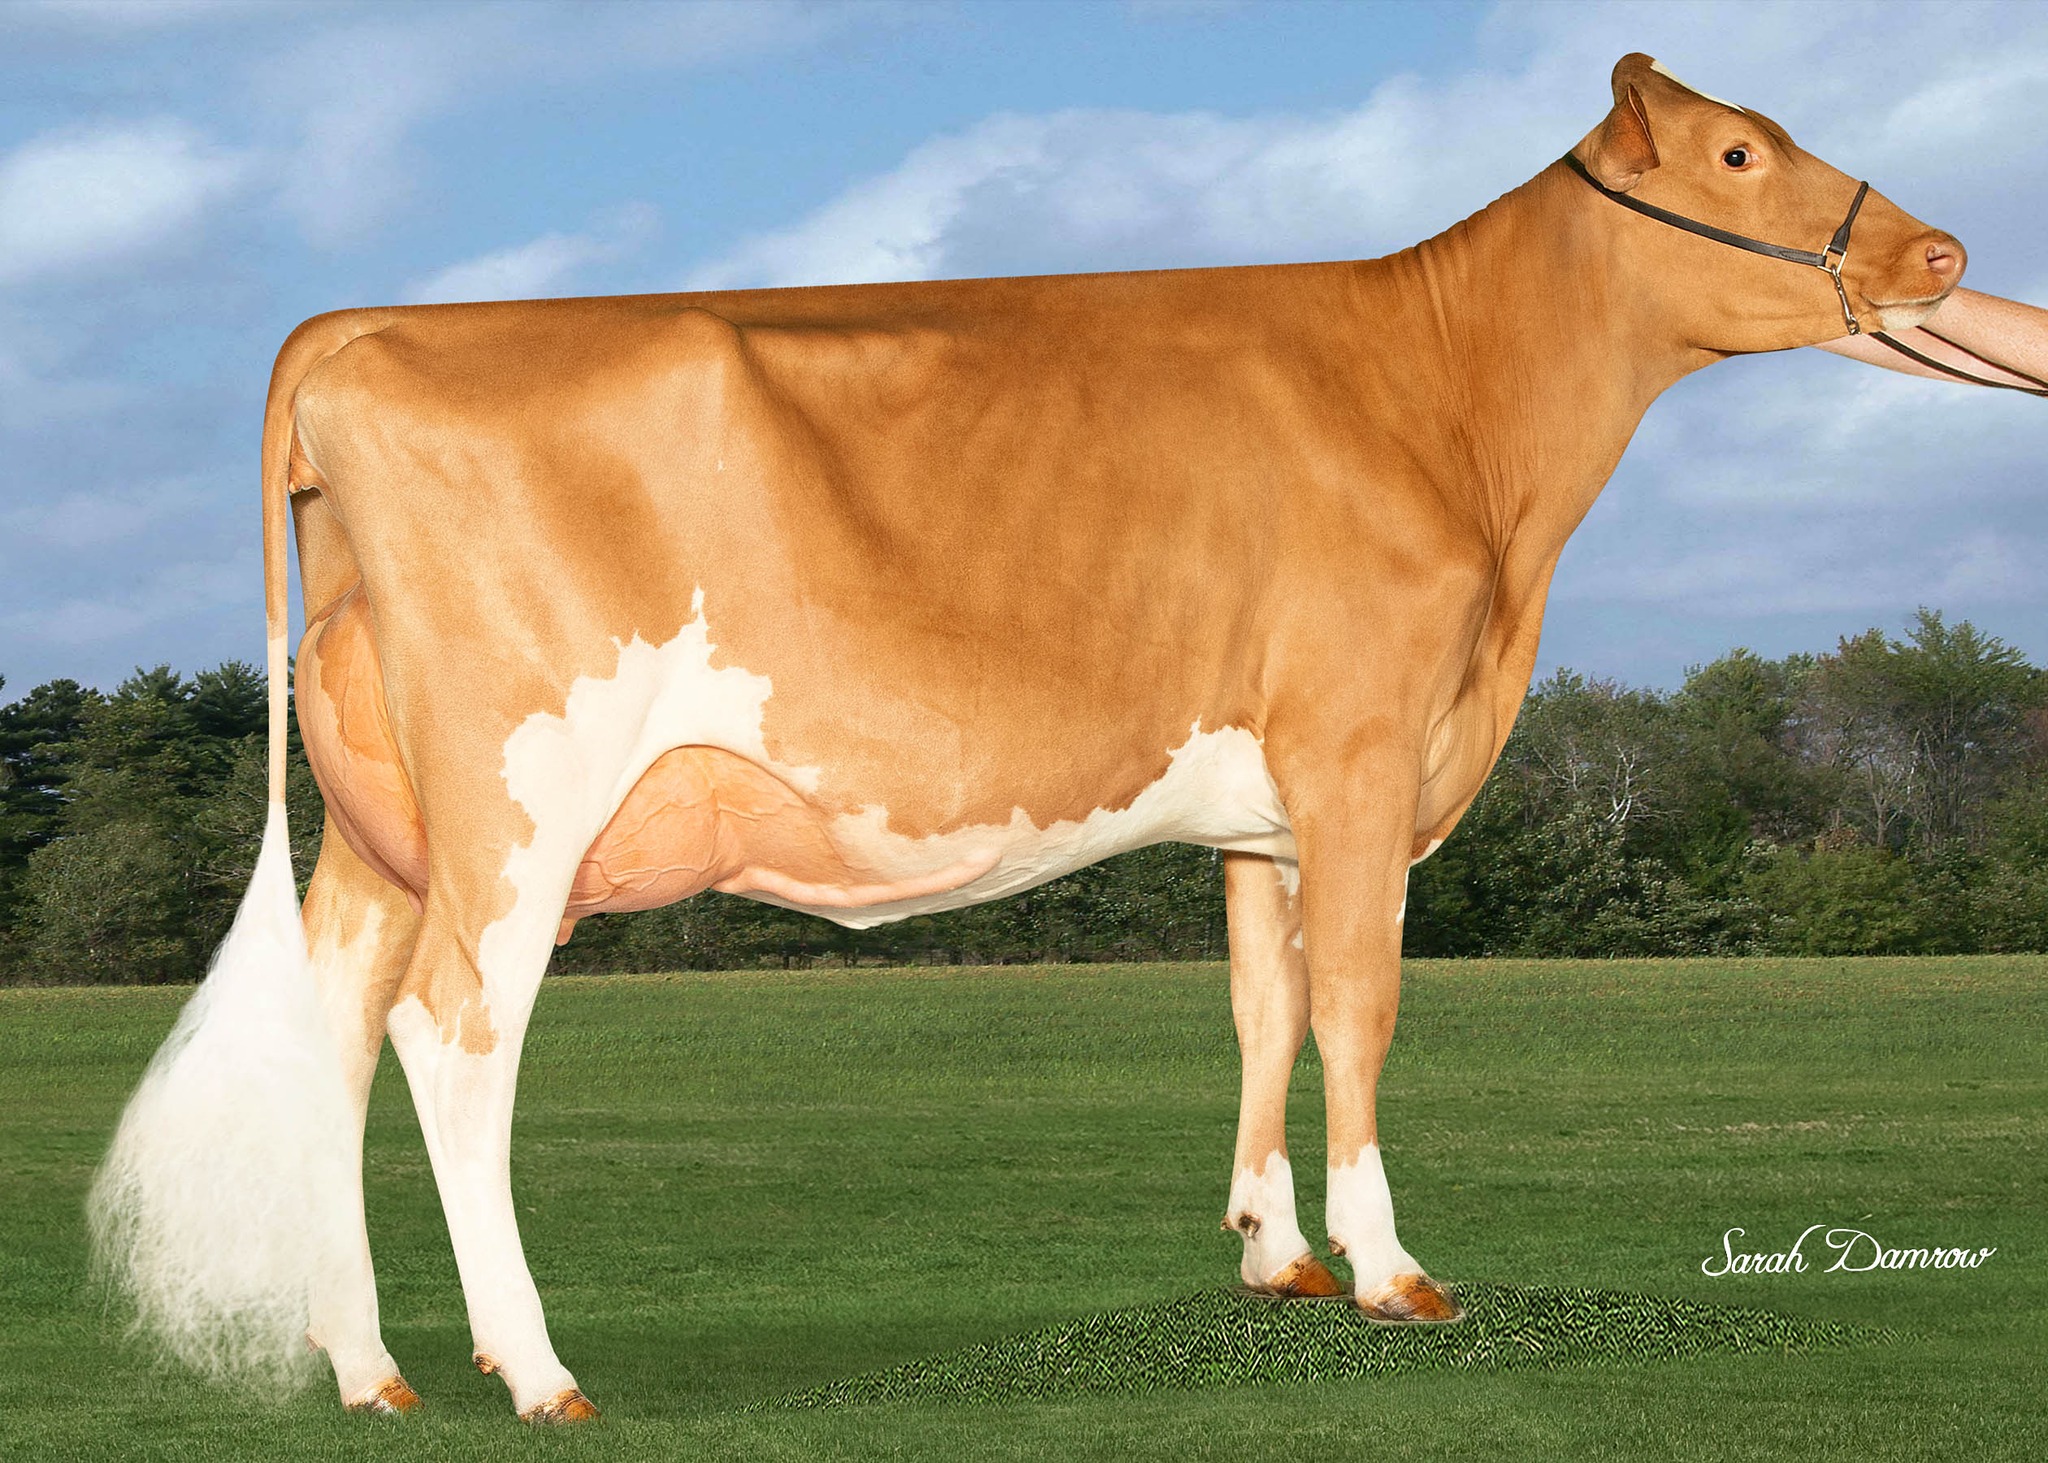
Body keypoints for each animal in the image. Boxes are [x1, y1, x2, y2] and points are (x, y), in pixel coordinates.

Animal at [93, 54, 1971, 1422]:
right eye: (1738, 152)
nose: (1941, 256)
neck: (1446, 407)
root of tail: (363, 329)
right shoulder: (1362, 746)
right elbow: (1357, 1005)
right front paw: (1391, 1272)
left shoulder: (1262, 802)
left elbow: (1264, 999)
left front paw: (1274, 1254)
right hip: (518, 803)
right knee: (453, 1037)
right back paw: (536, 1366)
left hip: (382, 829)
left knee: (337, 1034)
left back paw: (368, 1368)